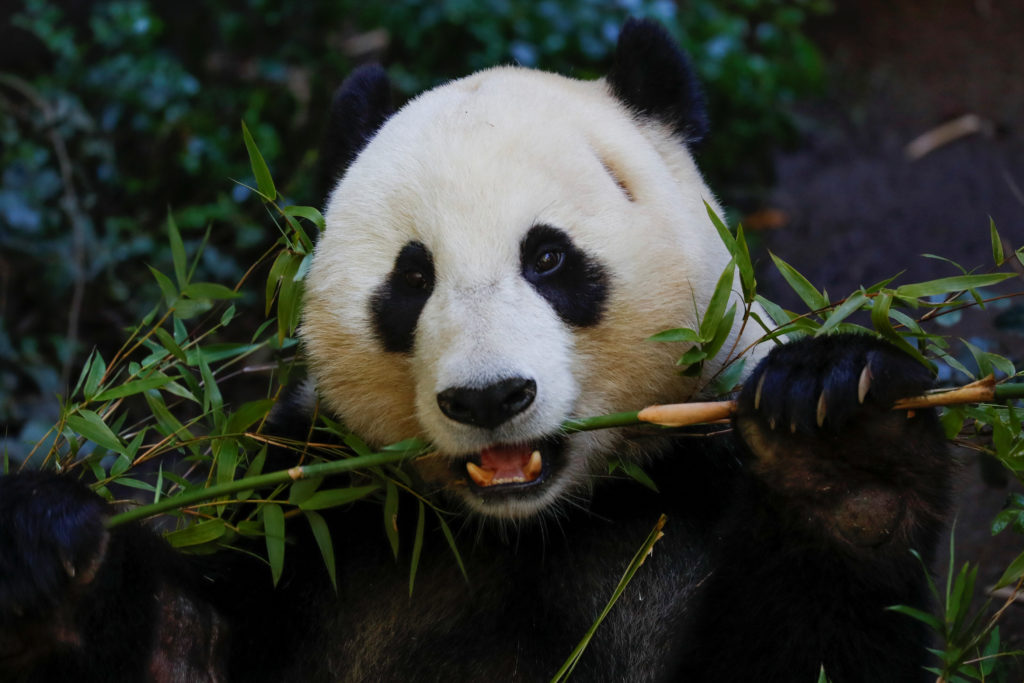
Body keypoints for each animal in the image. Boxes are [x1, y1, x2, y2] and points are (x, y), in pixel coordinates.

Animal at [0, 18, 950, 679]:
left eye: (550, 257)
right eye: (412, 277)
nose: (489, 398)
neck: (524, 528)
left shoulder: (691, 478)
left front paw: (838, 442)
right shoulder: (321, 508)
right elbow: (188, 643)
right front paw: (47, 552)